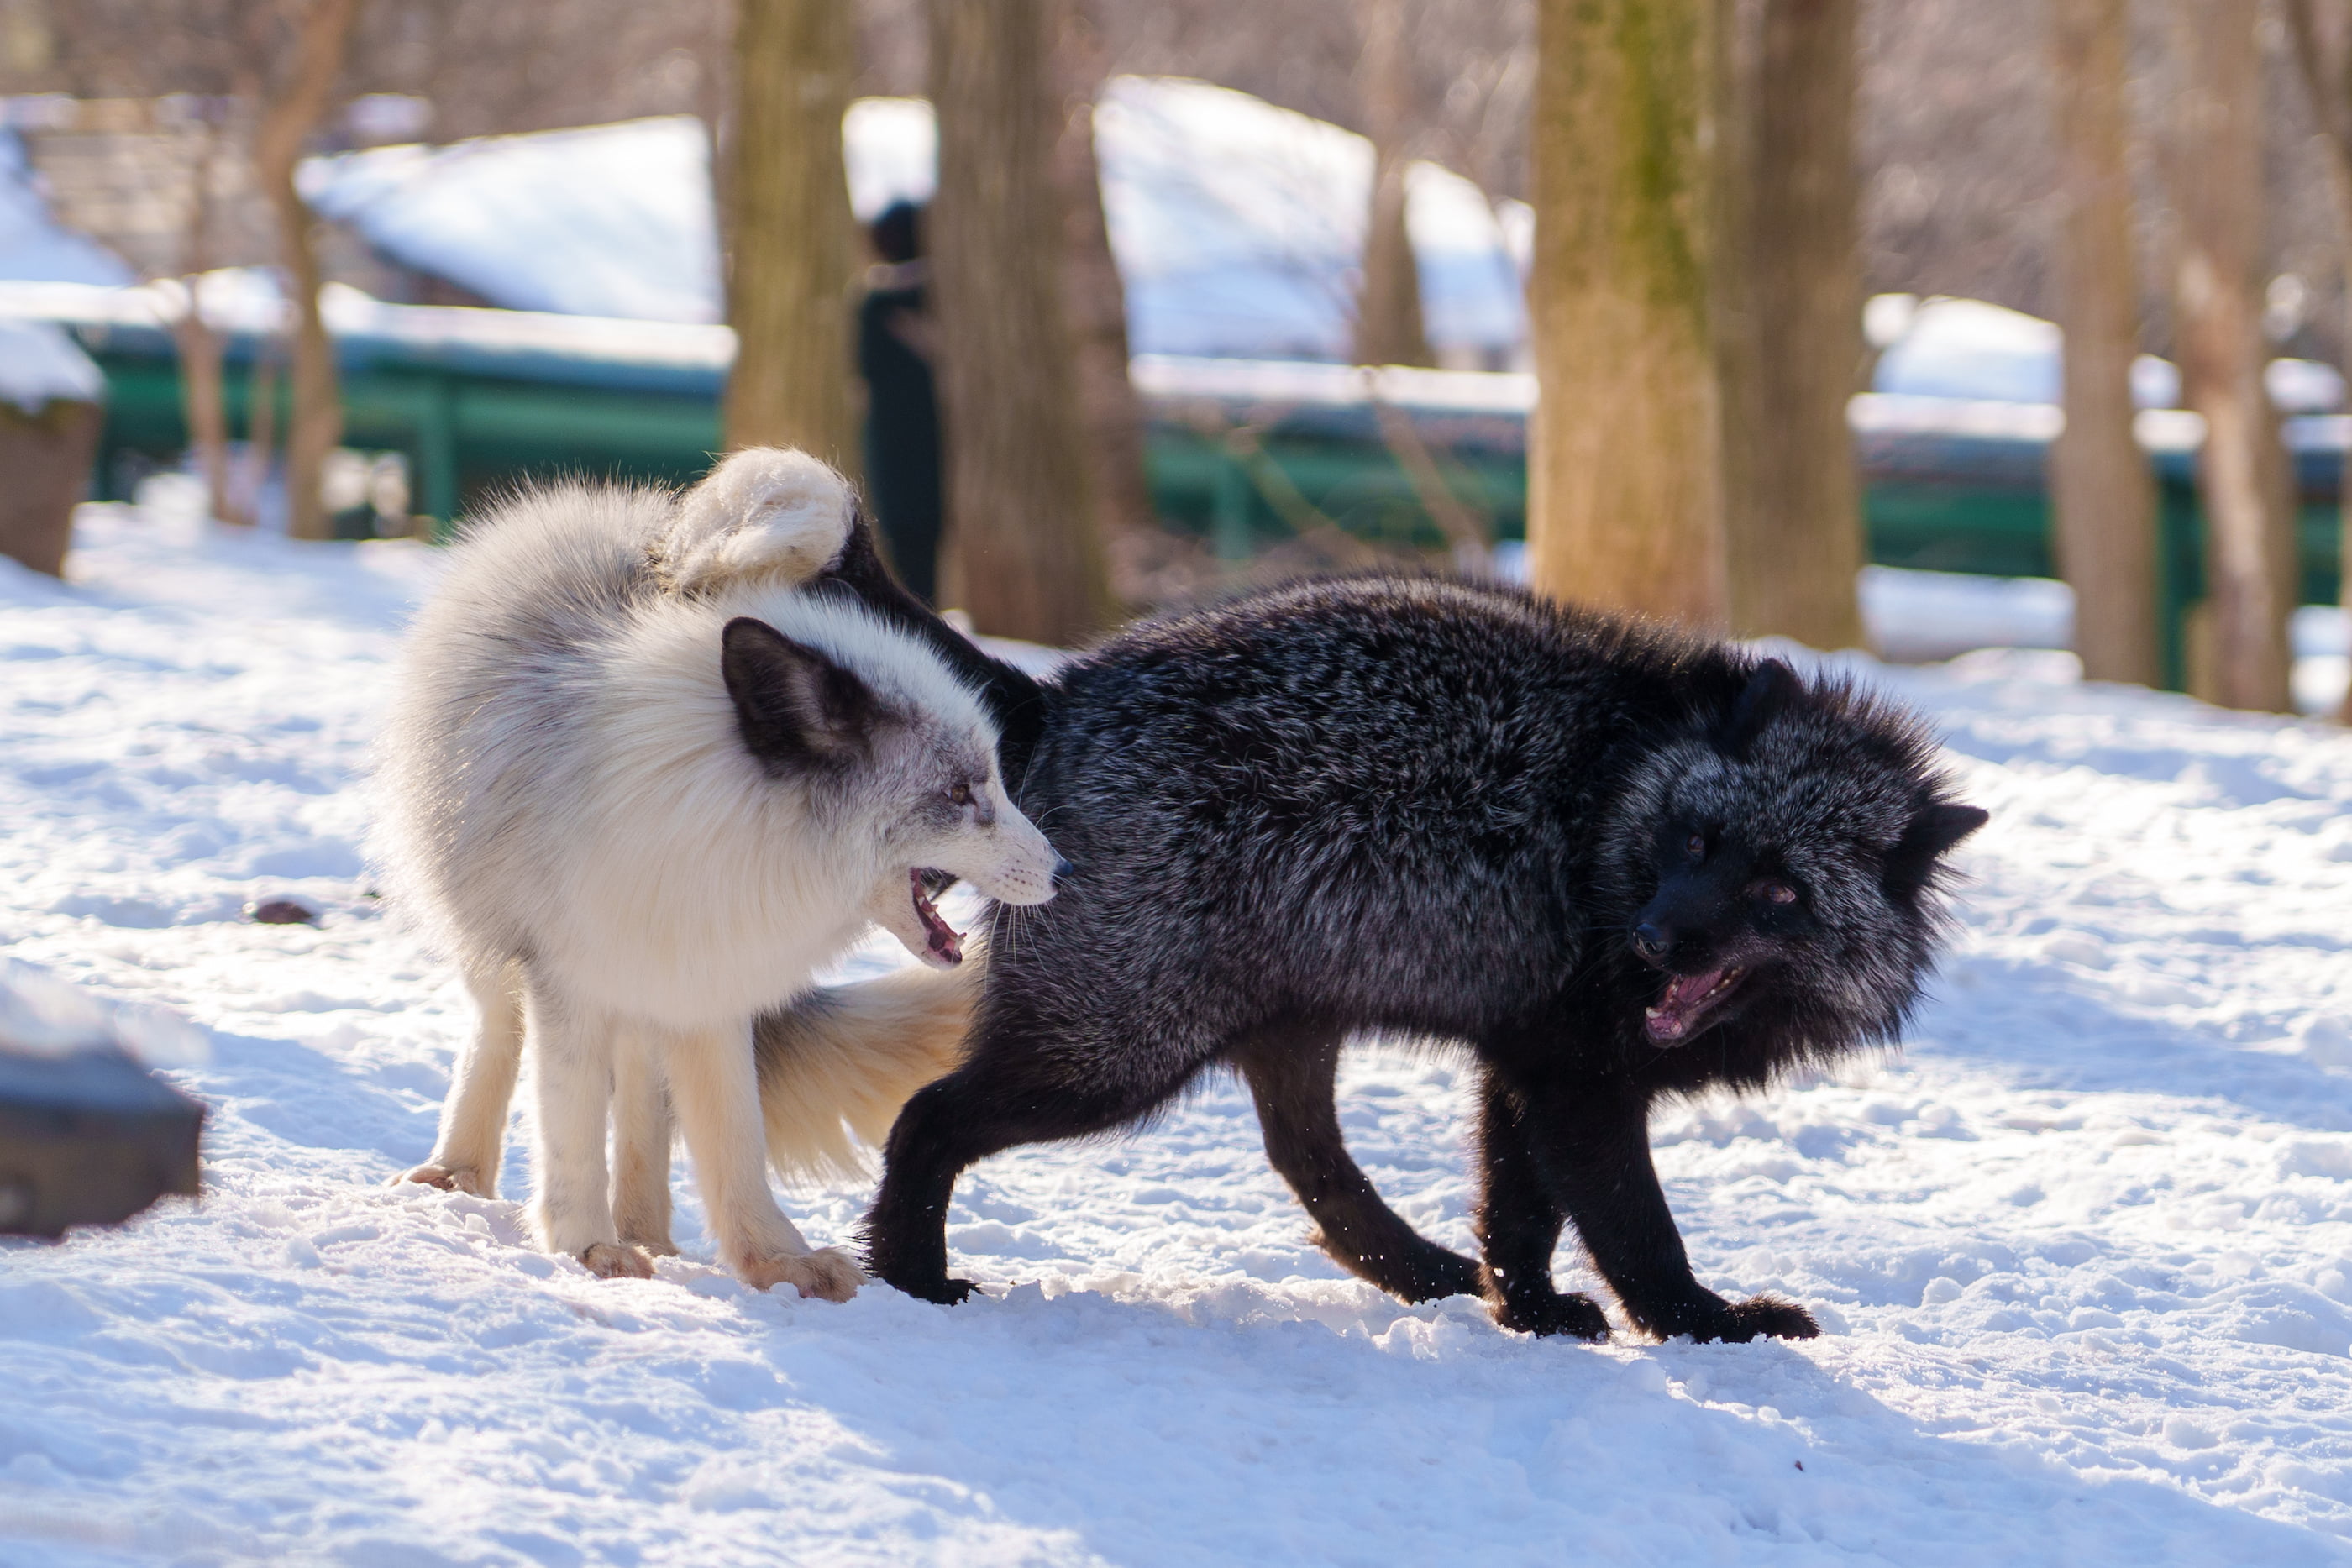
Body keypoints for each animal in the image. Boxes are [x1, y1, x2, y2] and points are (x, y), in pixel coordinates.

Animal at [795, 531, 1985, 1354]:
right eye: (1694, 841)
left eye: (1778, 890)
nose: (1655, 938)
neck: (1609, 803)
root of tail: (1054, 696)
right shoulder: (1578, 1083)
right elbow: (1634, 1230)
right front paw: (1707, 1325)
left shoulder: (1528, 1063)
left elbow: (1519, 1215)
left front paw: (1529, 1312)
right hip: (1110, 1053)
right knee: (927, 1119)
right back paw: (911, 1273)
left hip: (1278, 1023)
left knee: (1310, 1165)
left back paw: (1426, 1276)